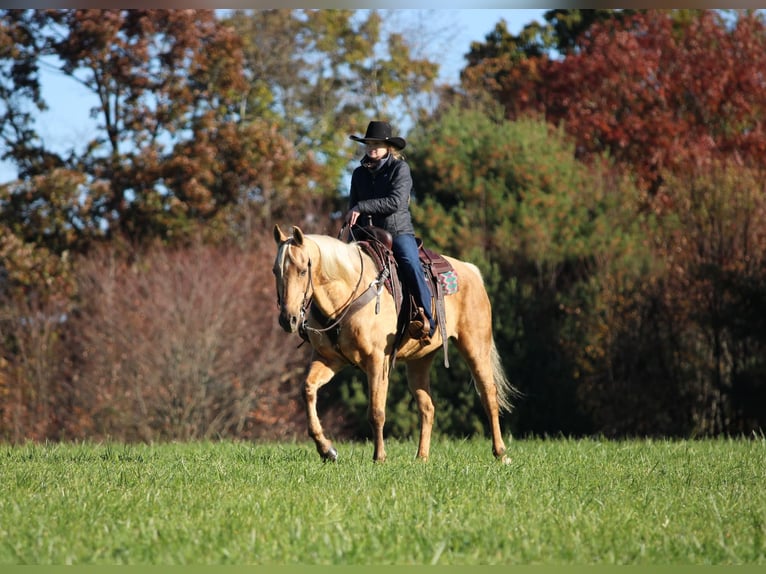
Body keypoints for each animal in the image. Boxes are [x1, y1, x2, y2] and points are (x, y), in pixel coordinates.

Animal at [272, 224, 518, 463]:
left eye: (303, 270)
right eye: (276, 271)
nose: (287, 319)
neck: (347, 296)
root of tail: (470, 270)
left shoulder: (377, 361)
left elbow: (376, 412)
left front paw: (379, 457)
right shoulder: (328, 359)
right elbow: (308, 389)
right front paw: (326, 450)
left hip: (475, 346)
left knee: (488, 395)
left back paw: (500, 453)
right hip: (419, 361)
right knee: (427, 407)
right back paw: (421, 457)